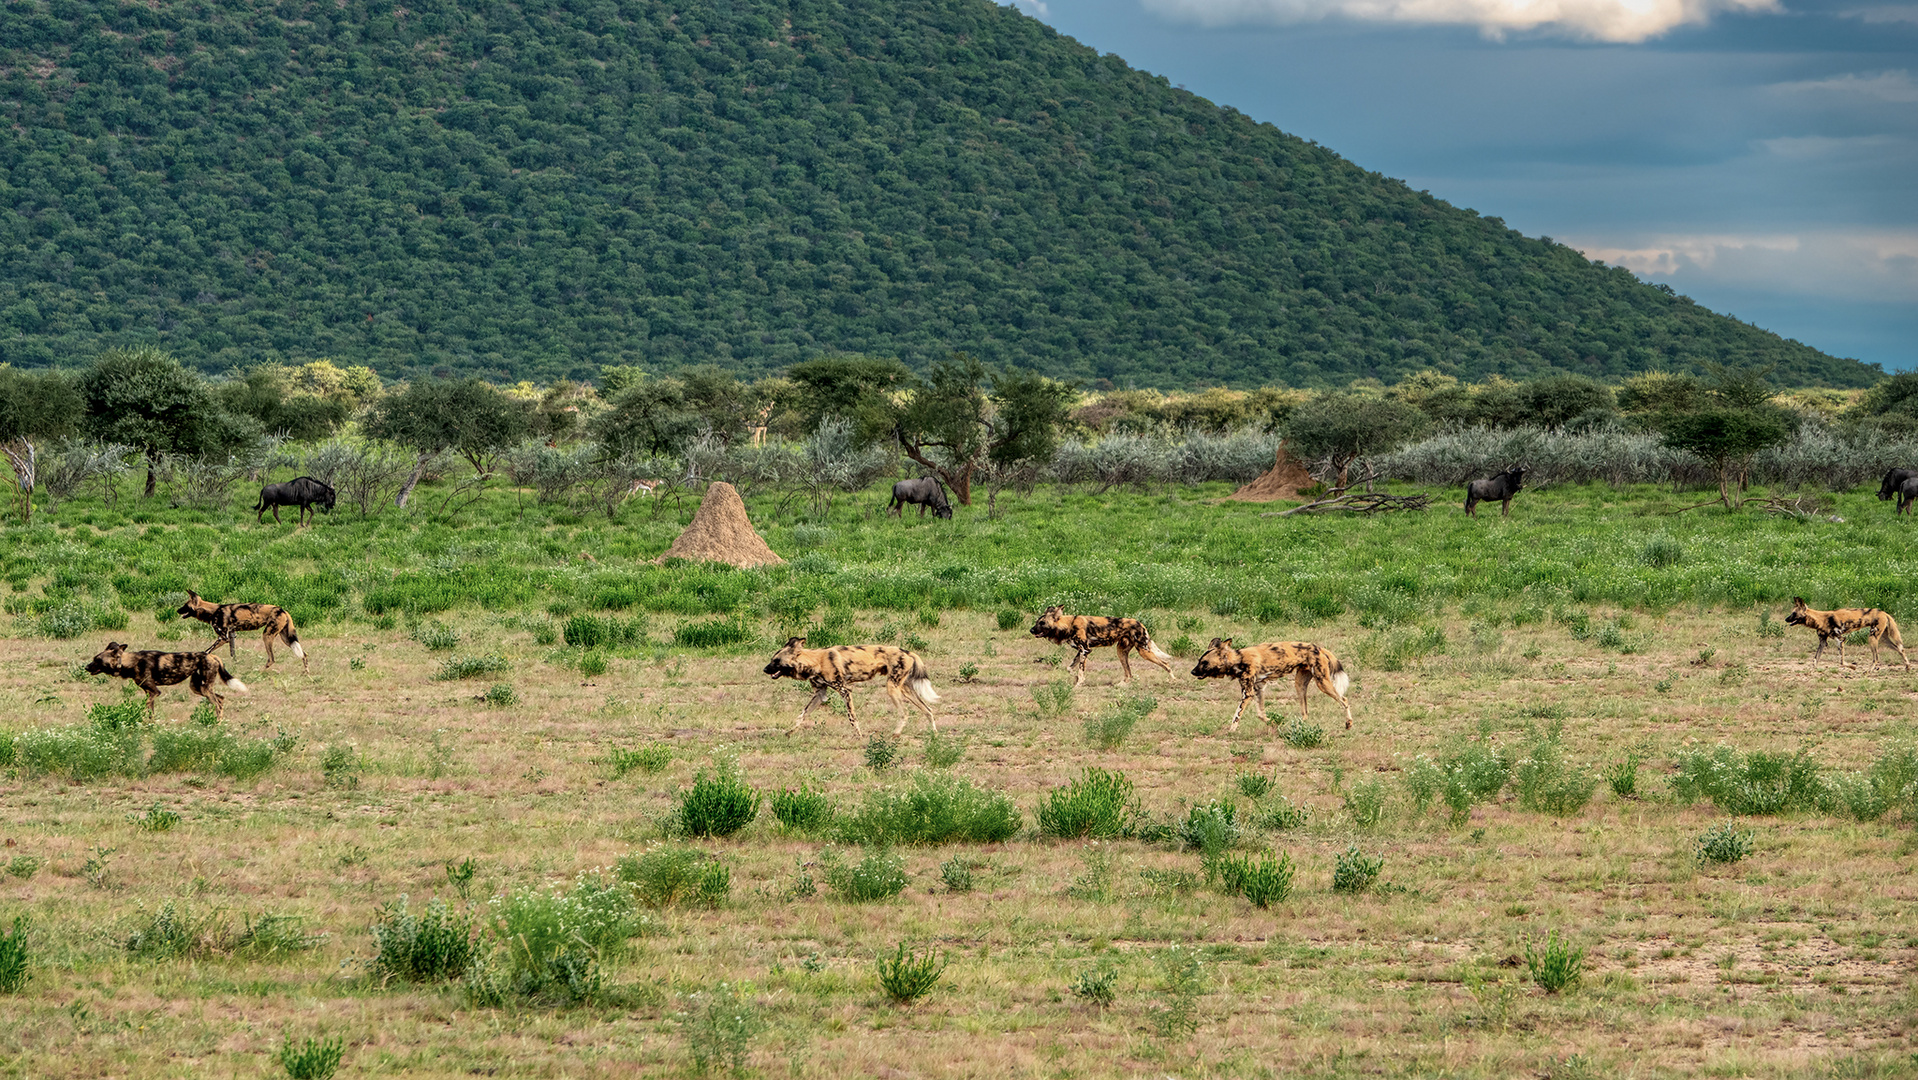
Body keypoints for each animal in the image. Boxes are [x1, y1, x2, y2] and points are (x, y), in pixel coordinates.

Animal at [87, 640, 247, 717]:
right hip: (197, 687)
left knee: (218, 704)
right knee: (221, 699)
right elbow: (150, 713)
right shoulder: (149, 693)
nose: (86, 667)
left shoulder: (154, 692)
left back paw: (216, 726)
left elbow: (146, 709)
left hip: (206, 688)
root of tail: (211, 655)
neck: (129, 662)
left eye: (97, 660)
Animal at [177, 594, 306, 671]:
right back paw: (306, 673)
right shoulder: (231, 636)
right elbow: (233, 654)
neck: (213, 611)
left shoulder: (223, 638)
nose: (177, 610)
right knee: (304, 654)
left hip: (267, 636)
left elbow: (206, 651)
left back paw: (259, 672)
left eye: (185, 605)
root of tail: (282, 609)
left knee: (271, 659)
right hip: (286, 638)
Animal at [763, 640, 943, 736]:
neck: (815, 660)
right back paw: (934, 734)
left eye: (776, 661)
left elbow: (852, 718)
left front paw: (859, 736)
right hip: (904, 689)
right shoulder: (820, 694)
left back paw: (895, 734)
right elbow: (802, 715)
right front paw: (790, 732)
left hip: (892, 688)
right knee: (928, 710)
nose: (764, 669)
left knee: (905, 713)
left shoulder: (845, 691)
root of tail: (908, 651)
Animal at [1028, 606, 1173, 690]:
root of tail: (1140, 623)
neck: (1069, 625)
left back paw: (1172, 680)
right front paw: (1075, 679)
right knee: (1129, 673)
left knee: (1166, 663)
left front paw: (1079, 683)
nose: (1031, 630)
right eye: (1037, 622)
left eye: (1042, 623)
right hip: (1121, 652)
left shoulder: (1085, 650)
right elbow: (1070, 668)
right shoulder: (1081, 651)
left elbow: (1080, 671)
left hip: (1144, 651)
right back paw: (1122, 685)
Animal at [1189, 636, 1357, 732]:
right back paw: (1298, 727)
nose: (1192, 671)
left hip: (1323, 683)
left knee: (1344, 700)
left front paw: (1231, 731)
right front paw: (1273, 724)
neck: (1237, 660)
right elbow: (1260, 714)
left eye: (1204, 663)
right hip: (1299, 684)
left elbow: (1236, 715)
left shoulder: (1248, 693)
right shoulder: (1258, 688)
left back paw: (1348, 723)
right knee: (1305, 712)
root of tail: (1319, 648)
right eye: (1199, 661)